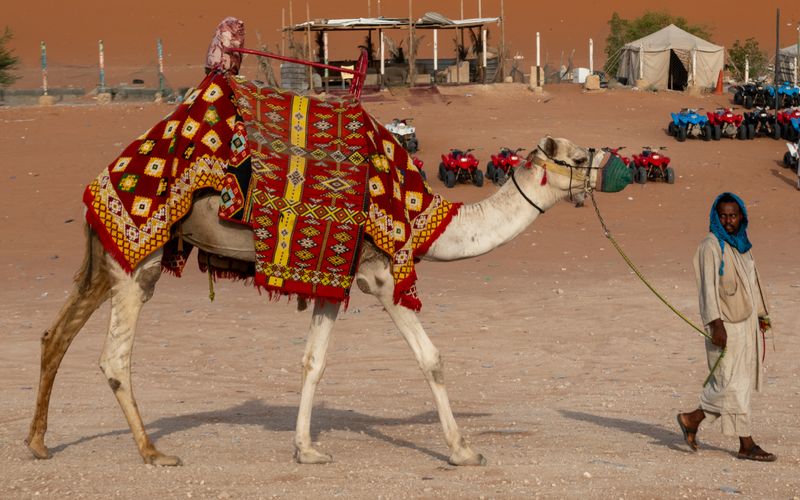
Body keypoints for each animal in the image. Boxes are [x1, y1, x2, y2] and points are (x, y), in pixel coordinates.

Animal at [25, 135, 609, 467]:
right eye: (580, 155)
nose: (608, 164)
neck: (422, 216)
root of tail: (103, 178)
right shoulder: (380, 273)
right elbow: (431, 358)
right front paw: (463, 450)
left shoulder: (334, 279)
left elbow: (313, 361)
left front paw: (306, 449)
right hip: (138, 257)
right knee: (114, 355)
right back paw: (152, 452)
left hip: (105, 256)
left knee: (55, 335)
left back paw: (37, 443)